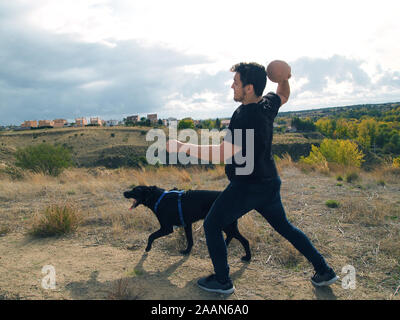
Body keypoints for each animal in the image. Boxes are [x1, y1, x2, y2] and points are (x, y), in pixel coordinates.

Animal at [123, 186, 252, 262]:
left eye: (135, 190)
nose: (124, 192)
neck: (158, 198)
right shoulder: (187, 225)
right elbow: (190, 240)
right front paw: (187, 251)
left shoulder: (167, 228)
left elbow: (151, 236)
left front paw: (148, 247)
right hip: (225, 225)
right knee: (231, 236)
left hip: (227, 225)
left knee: (244, 240)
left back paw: (247, 257)